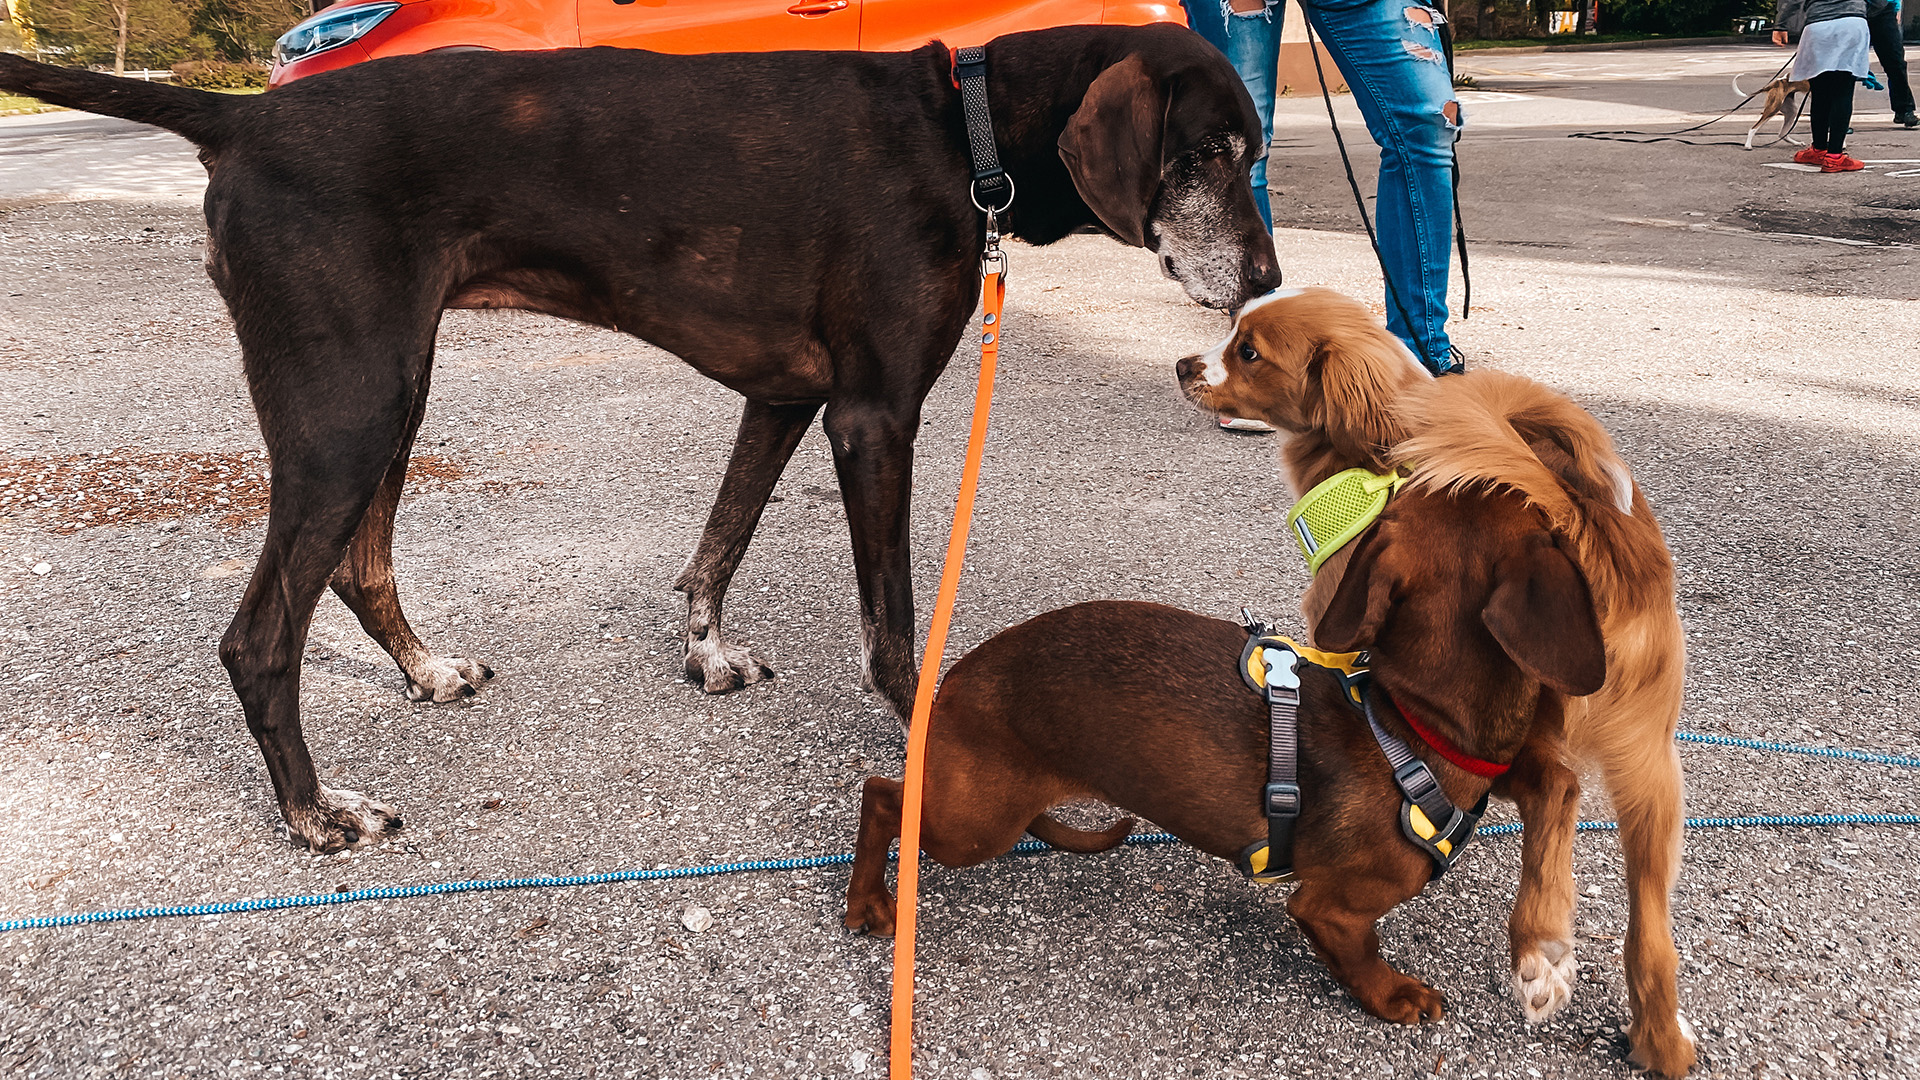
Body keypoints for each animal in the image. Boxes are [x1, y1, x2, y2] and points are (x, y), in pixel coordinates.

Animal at [3, 25, 1290, 849]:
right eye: (1208, 153)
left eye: (1251, 154)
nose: (1270, 282)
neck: (956, 128)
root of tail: (244, 116)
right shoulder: (875, 416)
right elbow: (893, 628)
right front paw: (937, 743)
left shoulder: (786, 399)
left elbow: (721, 538)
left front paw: (706, 648)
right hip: (346, 409)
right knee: (257, 639)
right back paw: (316, 813)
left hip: (390, 392)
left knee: (362, 570)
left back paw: (425, 672)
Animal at [840, 478, 1605, 1022]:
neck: (1412, 724)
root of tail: (952, 681)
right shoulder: (1332, 910)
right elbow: (1361, 956)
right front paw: (1396, 997)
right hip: (974, 824)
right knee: (880, 796)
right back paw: (868, 900)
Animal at [1167, 290, 1697, 1068]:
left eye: (1250, 351)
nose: (1183, 365)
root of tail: (1572, 517)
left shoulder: (1341, 623)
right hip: (1650, 764)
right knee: (1649, 928)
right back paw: (1656, 1035)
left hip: (1510, 731)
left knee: (1557, 788)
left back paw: (1537, 950)